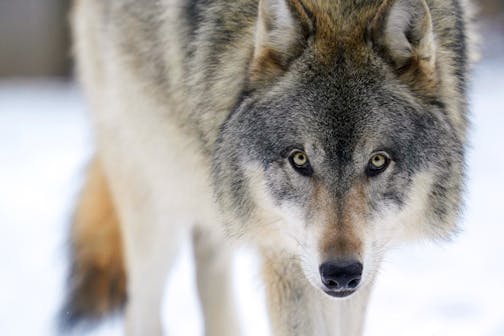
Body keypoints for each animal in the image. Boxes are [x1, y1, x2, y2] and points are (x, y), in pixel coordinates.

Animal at [63, 0, 476, 334]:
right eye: (299, 159)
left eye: (377, 161)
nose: (340, 273)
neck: (342, 8)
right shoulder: (286, 254)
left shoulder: (367, 261)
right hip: (156, 202)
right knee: (140, 312)